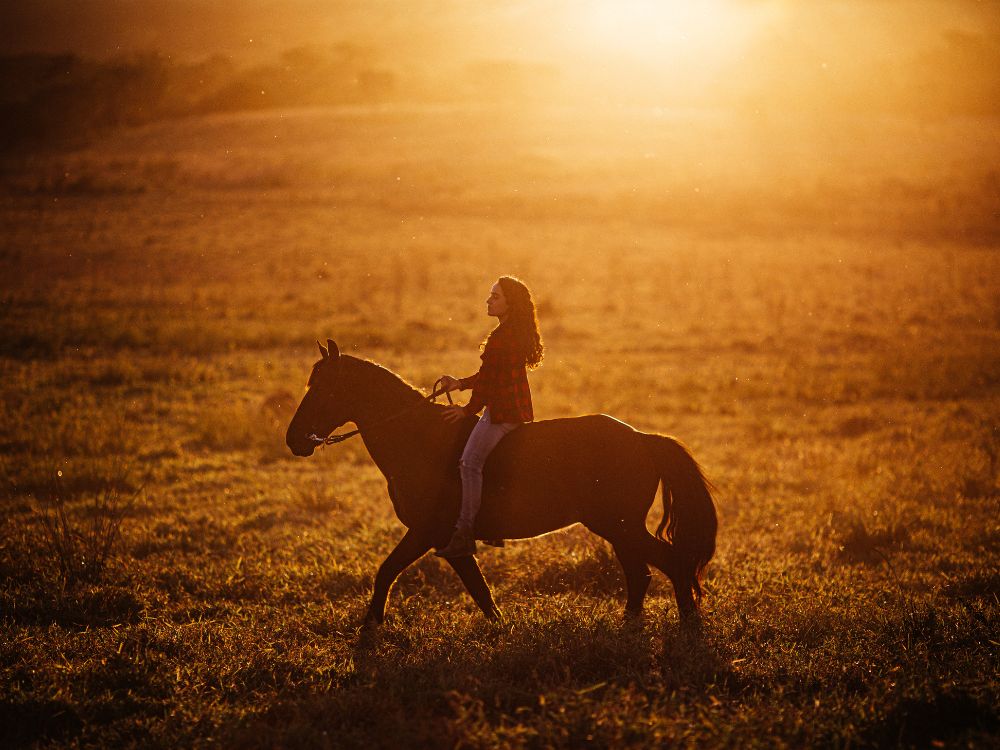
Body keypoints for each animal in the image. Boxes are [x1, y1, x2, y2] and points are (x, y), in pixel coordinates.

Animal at [286, 339, 718, 626]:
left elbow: (391, 572)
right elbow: (478, 592)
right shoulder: (445, 541)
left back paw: (687, 626)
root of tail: (642, 438)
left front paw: (370, 629)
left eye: (322, 389)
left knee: (670, 564)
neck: (420, 439)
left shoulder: (428, 532)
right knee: (641, 573)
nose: (294, 440)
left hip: (620, 525)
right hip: (619, 528)